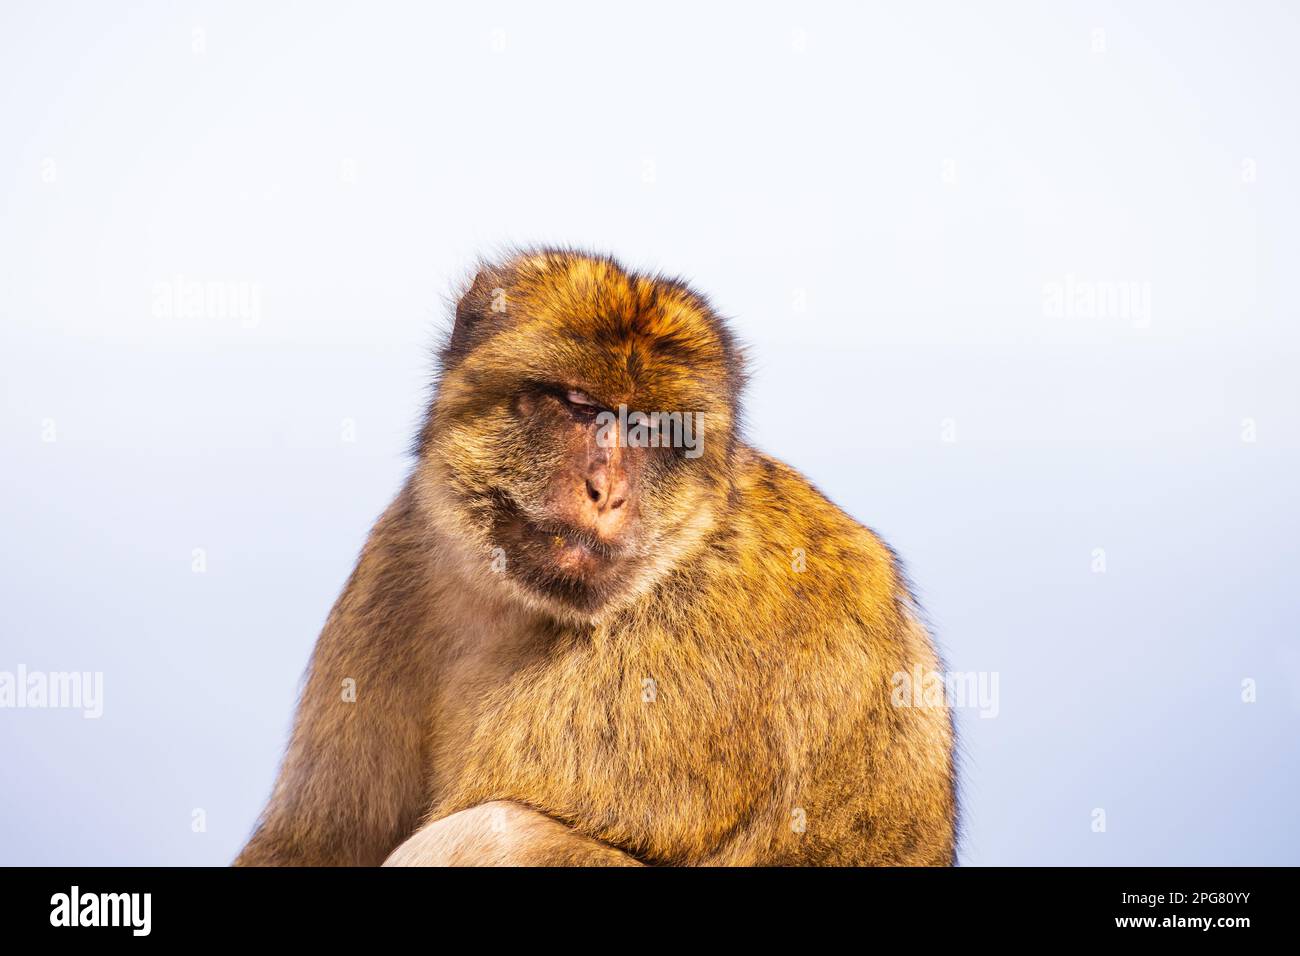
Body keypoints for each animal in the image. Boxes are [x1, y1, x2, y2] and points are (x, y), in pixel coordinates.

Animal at [234, 248, 956, 867]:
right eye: (581, 405)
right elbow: (316, 841)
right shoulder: (403, 545)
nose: (606, 491)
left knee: (498, 833)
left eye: (654, 428)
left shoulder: (676, 653)